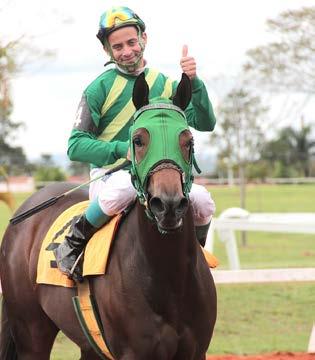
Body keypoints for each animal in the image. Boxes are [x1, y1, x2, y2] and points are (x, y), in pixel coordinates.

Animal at [0, 73, 217, 360]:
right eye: (138, 140)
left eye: (188, 141)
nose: (167, 205)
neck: (169, 277)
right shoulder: (132, 353)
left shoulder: (195, 352)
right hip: (30, 332)